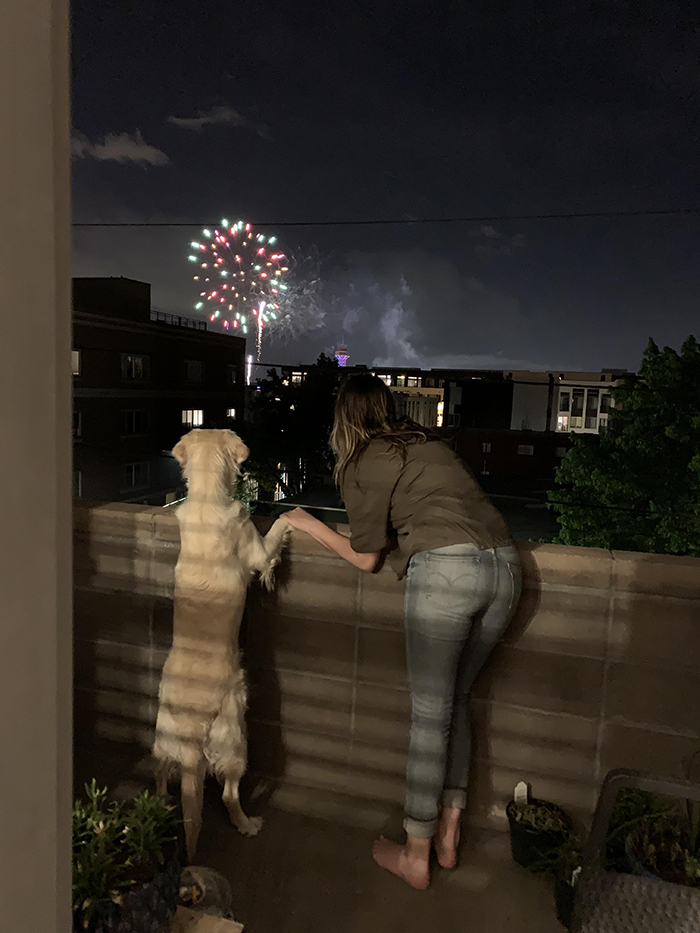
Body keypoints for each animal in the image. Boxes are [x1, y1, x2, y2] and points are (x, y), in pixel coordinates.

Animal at [154, 428, 288, 860]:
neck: (206, 499)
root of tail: (191, 728)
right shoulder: (256, 550)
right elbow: (277, 531)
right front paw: (292, 519)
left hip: (162, 742)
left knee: (162, 782)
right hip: (236, 741)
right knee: (230, 795)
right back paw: (247, 824)